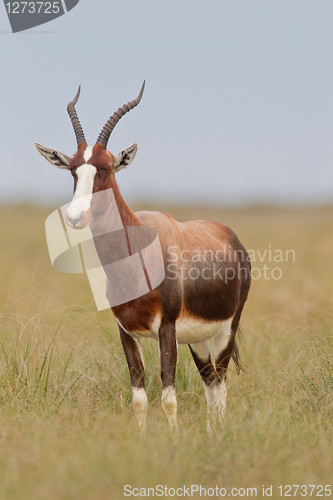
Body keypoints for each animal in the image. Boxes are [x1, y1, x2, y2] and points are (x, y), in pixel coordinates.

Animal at [35, 83, 249, 434]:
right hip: (198, 339)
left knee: (220, 385)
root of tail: (231, 237)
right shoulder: (126, 332)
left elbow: (169, 396)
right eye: (73, 169)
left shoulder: (167, 330)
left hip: (226, 330)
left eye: (105, 168)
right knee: (210, 383)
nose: (76, 216)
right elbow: (139, 397)